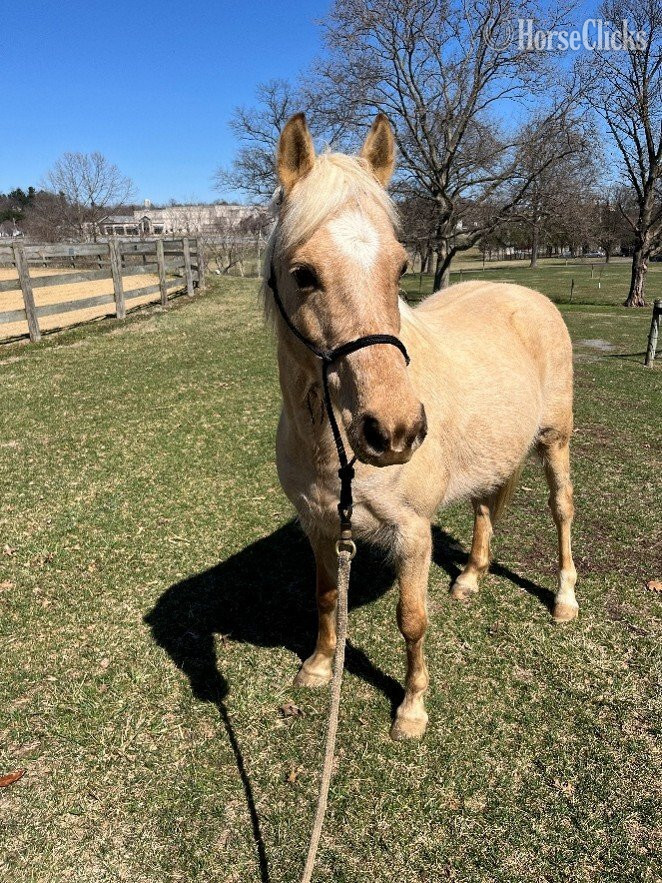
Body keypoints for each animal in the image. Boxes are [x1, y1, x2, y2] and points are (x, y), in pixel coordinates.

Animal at [263, 112, 578, 741]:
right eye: (303, 274)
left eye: (401, 267)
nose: (395, 432)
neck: (332, 452)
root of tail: (528, 296)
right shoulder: (319, 527)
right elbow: (326, 596)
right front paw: (318, 667)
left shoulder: (412, 534)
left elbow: (412, 620)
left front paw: (411, 709)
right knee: (486, 505)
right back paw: (471, 578)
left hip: (555, 442)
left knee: (562, 510)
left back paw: (564, 600)